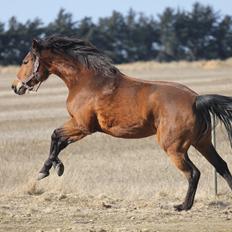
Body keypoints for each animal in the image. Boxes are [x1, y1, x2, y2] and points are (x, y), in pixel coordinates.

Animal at [11, 35, 232, 210]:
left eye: (25, 61)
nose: (15, 87)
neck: (87, 82)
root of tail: (196, 99)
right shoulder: (79, 126)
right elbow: (59, 141)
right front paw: (56, 167)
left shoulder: (83, 126)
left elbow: (55, 135)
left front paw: (45, 170)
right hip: (202, 143)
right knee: (221, 166)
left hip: (174, 148)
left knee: (193, 173)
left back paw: (182, 206)